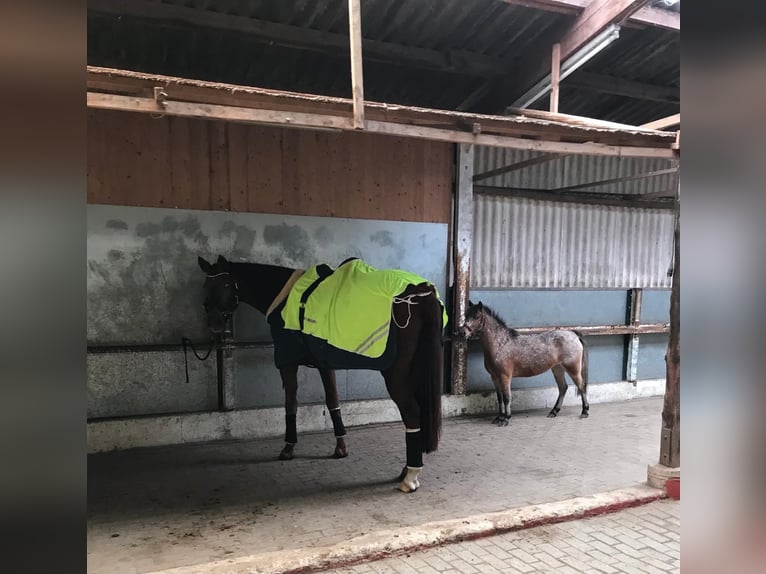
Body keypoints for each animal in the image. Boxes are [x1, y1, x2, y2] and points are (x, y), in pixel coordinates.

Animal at [196, 255, 444, 493]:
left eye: (226, 283)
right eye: (206, 285)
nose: (214, 323)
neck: (285, 297)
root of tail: (422, 293)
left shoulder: (287, 361)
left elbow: (290, 403)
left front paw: (289, 447)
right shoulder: (325, 363)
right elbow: (333, 400)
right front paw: (340, 447)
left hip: (396, 376)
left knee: (411, 412)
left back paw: (410, 477)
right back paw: (406, 469)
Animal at [458, 301, 589, 425]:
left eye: (477, 317)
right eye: (466, 315)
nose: (462, 332)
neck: (501, 343)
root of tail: (574, 334)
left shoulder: (505, 376)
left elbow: (506, 397)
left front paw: (506, 419)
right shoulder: (494, 377)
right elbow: (499, 398)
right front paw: (499, 417)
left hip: (573, 369)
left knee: (581, 386)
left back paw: (584, 412)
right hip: (557, 368)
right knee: (563, 388)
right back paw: (553, 412)